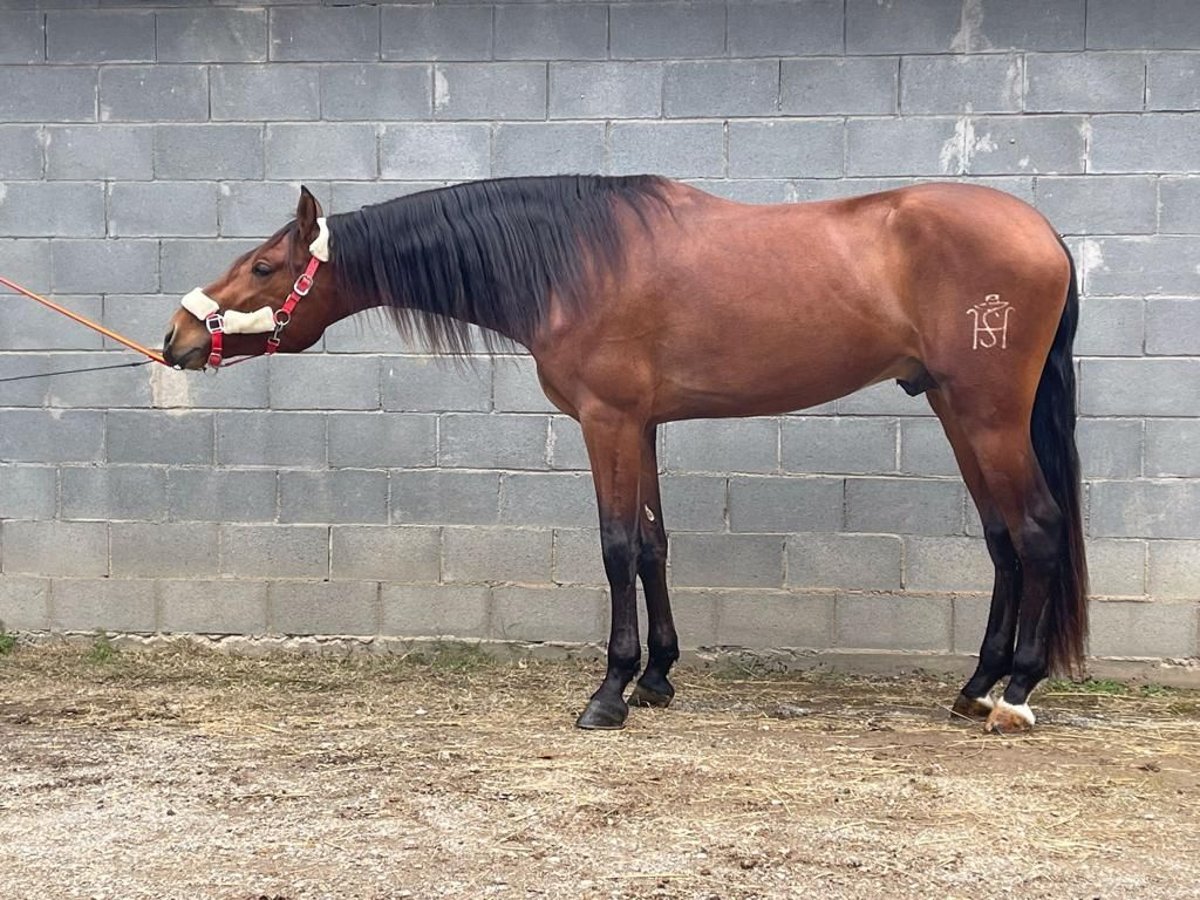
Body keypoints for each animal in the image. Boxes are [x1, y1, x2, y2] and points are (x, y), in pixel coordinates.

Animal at [164, 174, 1094, 734]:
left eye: (265, 264)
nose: (177, 337)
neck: (574, 262)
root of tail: (1044, 230)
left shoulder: (605, 422)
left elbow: (615, 547)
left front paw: (609, 692)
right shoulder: (641, 426)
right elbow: (652, 545)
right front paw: (658, 677)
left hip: (989, 414)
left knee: (1038, 529)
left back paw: (1017, 694)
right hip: (953, 408)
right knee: (1002, 540)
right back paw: (975, 687)